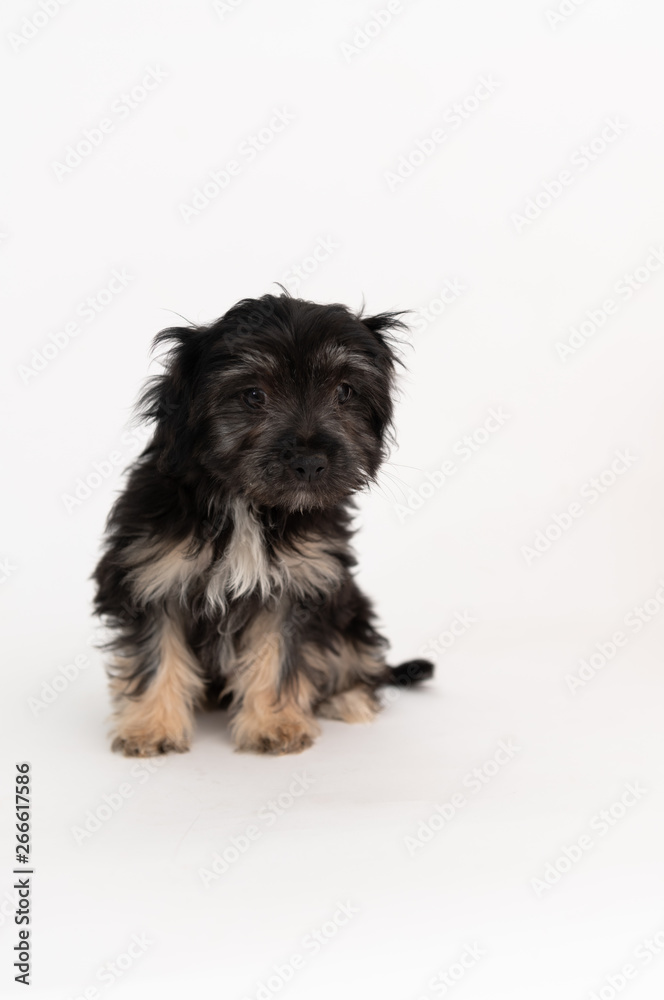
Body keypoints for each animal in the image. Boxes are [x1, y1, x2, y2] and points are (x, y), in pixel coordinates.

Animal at [94, 292, 436, 756]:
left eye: (344, 391)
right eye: (254, 395)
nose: (309, 462)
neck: (247, 504)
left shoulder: (298, 583)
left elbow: (279, 654)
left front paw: (276, 724)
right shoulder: (152, 573)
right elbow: (155, 651)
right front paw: (152, 727)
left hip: (348, 610)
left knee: (356, 651)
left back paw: (348, 696)